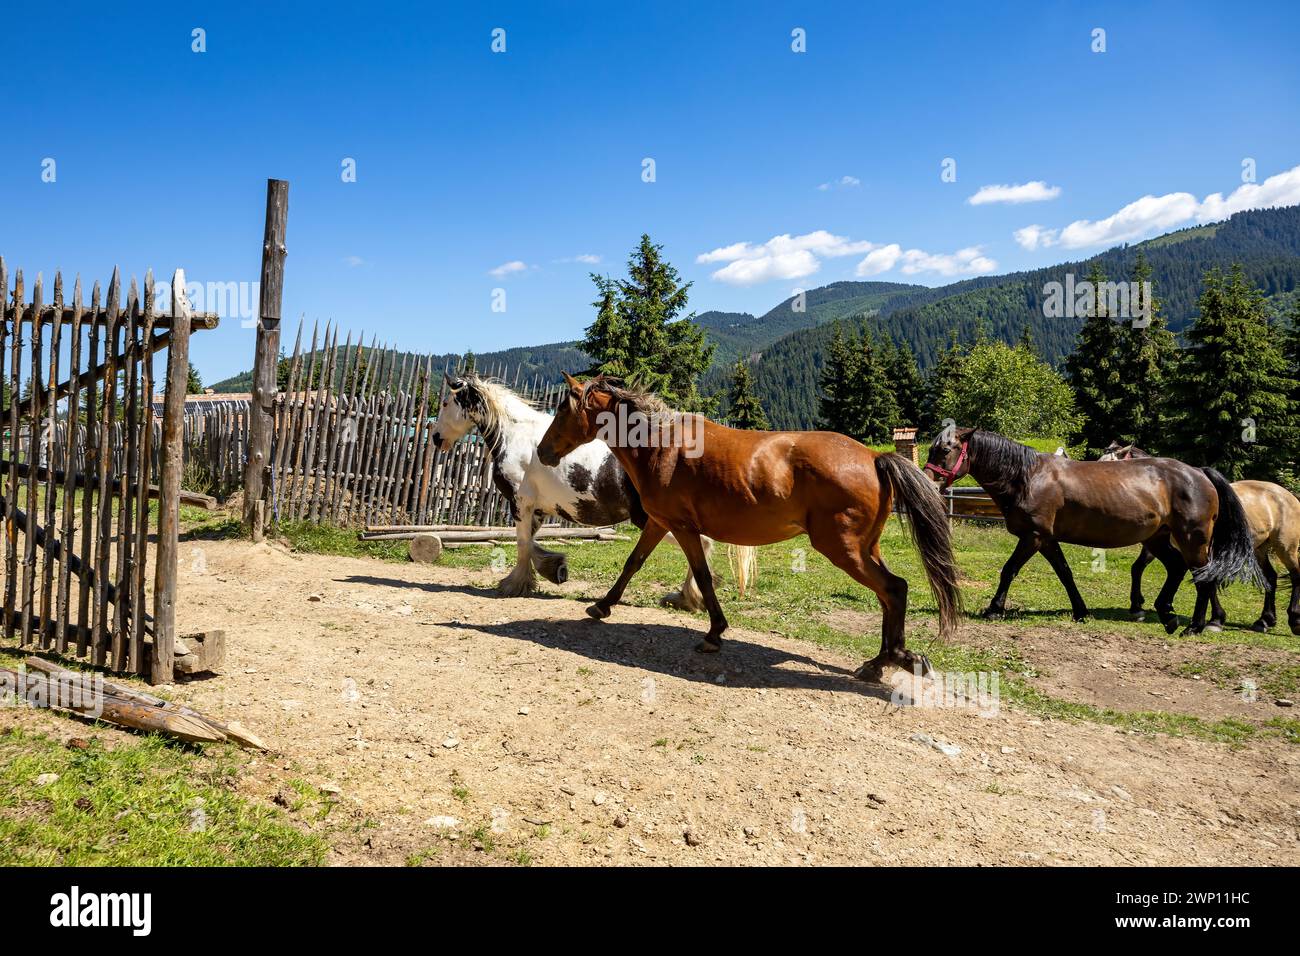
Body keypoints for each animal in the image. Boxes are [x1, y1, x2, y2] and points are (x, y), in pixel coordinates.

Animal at [429, 372, 751, 609]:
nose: (435, 438)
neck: (516, 436)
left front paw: (516, 583)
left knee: (703, 545)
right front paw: (554, 569)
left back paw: (687, 597)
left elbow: (522, 545)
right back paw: (687, 597)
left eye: (445, 403)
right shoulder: (538, 509)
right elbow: (531, 544)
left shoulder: (521, 503)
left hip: (657, 520)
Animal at [536, 373, 961, 681]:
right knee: (891, 594)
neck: (660, 445)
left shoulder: (683, 528)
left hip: (844, 549)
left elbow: (703, 576)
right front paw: (602, 606)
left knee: (894, 589)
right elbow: (632, 564)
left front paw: (714, 634)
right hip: (865, 548)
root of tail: (874, 457)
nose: (542, 451)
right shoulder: (659, 523)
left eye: (562, 410)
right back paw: (886, 661)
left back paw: (889, 661)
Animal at [925, 426, 1262, 633]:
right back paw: (1166, 613)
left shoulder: (1032, 537)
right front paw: (1081, 611)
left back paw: (1195, 625)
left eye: (945, 451)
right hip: (1159, 539)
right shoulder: (1046, 540)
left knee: (1204, 578)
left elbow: (1009, 570)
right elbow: (1065, 574)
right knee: (1179, 569)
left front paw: (995, 609)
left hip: (1192, 540)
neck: (1028, 477)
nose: (928, 481)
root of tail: (1199, 473)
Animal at [1099, 444, 1300, 634]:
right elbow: (1137, 568)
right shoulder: (1156, 545)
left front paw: (1215, 621)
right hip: (1260, 549)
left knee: (1295, 574)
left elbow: (1207, 581)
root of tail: (1287, 495)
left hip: (1285, 547)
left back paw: (1294, 621)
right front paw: (1137, 608)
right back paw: (1265, 621)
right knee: (1271, 577)